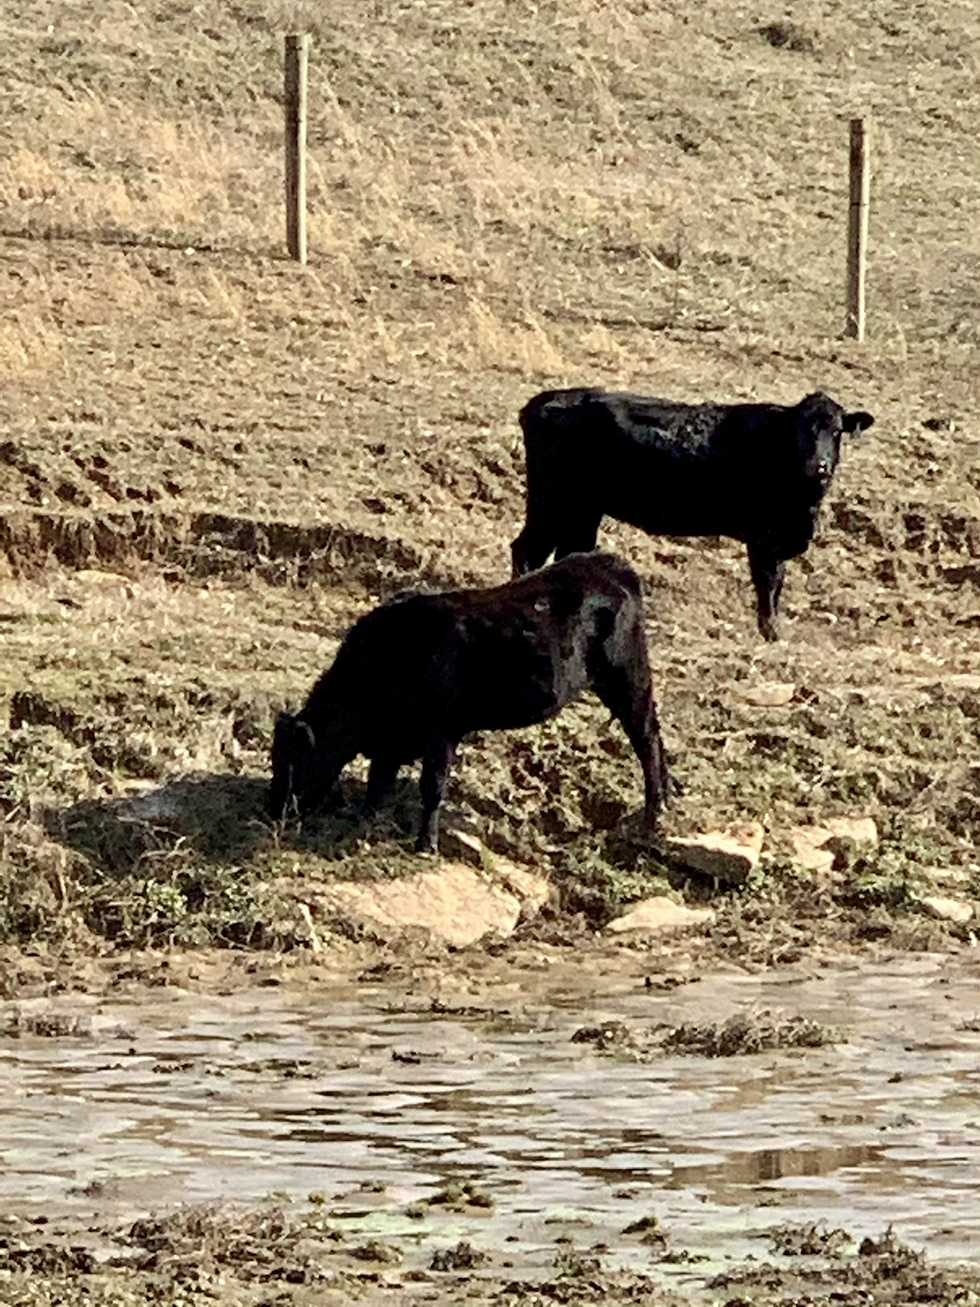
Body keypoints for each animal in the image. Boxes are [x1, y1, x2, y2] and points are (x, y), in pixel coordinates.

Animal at [269, 552, 669, 853]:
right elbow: (378, 783)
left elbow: (431, 786)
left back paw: (652, 816)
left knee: (647, 739)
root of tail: (608, 562)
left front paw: (425, 844)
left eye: (294, 762)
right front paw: (362, 823)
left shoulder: (440, 730)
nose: (273, 810)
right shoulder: (391, 741)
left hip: (627, 674)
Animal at [510, 388, 875, 641]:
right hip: (553, 500)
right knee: (527, 549)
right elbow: (768, 584)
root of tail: (544, 400)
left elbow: (778, 584)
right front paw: (770, 633)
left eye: (837, 431)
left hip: (581, 509)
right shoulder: (764, 539)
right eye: (800, 430)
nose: (820, 466)